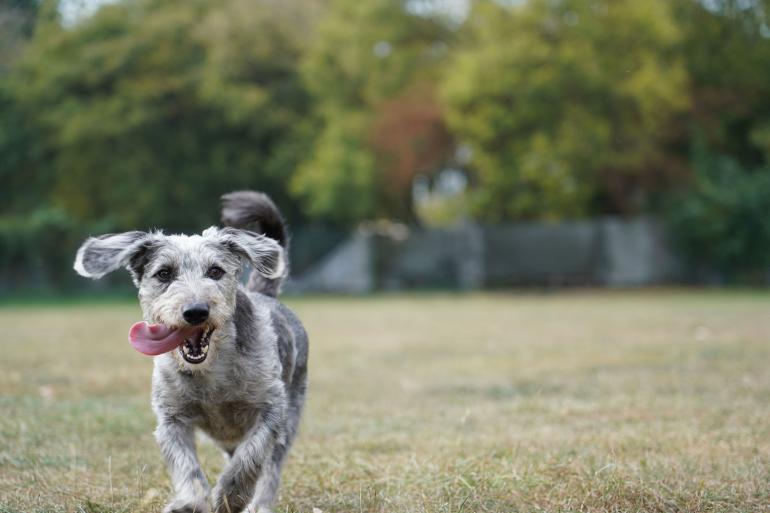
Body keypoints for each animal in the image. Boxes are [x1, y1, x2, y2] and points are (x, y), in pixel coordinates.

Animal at [73, 190, 308, 510]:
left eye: (215, 271)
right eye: (164, 273)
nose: (196, 311)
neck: (212, 369)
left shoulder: (271, 410)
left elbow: (251, 457)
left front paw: (230, 496)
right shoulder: (171, 418)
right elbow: (187, 466)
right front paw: (190, 502)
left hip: (291, 414)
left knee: (271, 467)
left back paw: (259, 505)